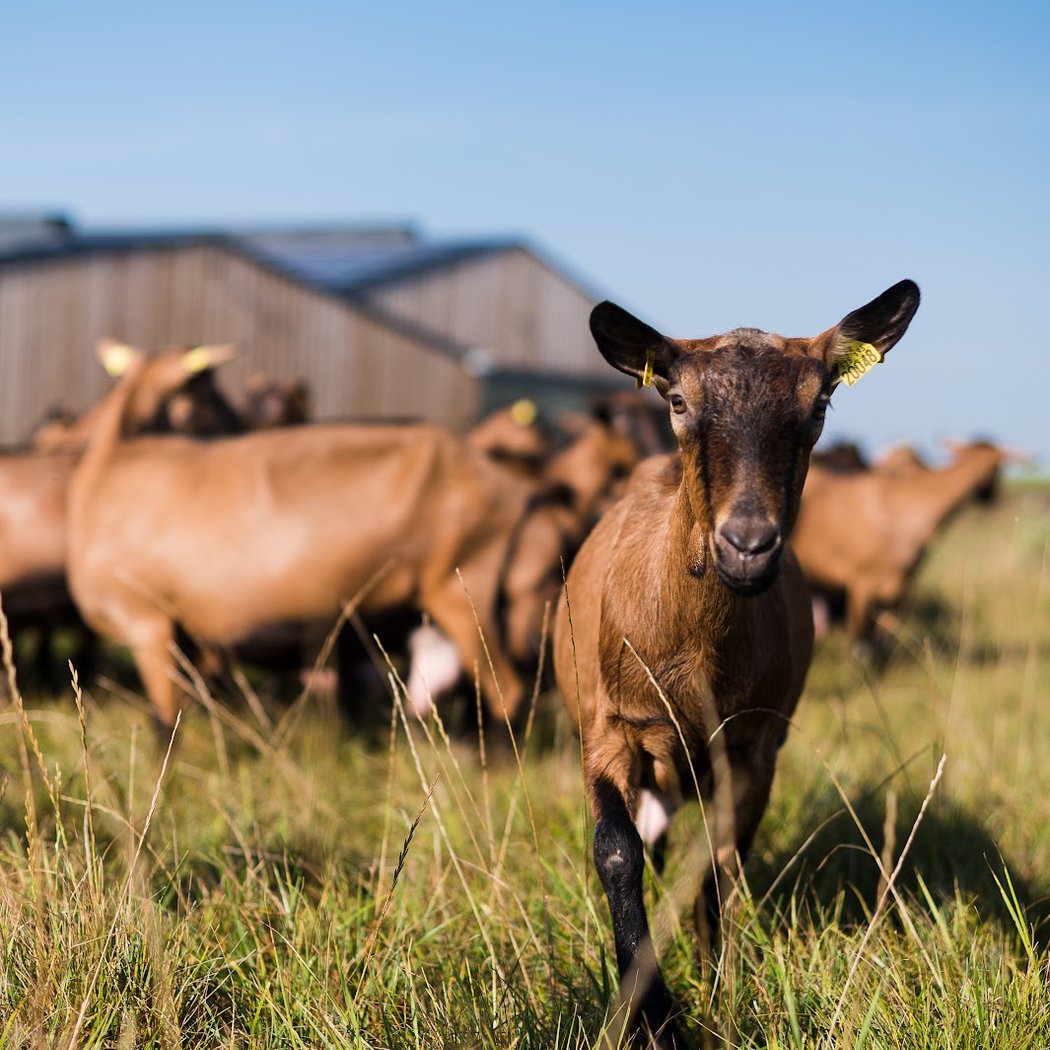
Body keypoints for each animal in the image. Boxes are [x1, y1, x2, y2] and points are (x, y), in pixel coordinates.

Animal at [551, 280, 920, 1046]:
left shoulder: (754, 746)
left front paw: (715, 985)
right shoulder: (608, 728)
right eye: (678, 401)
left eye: (819, 405)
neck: (694, 660)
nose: (747, 545)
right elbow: (618, 851)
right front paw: (654, 1016)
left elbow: (721, 864)